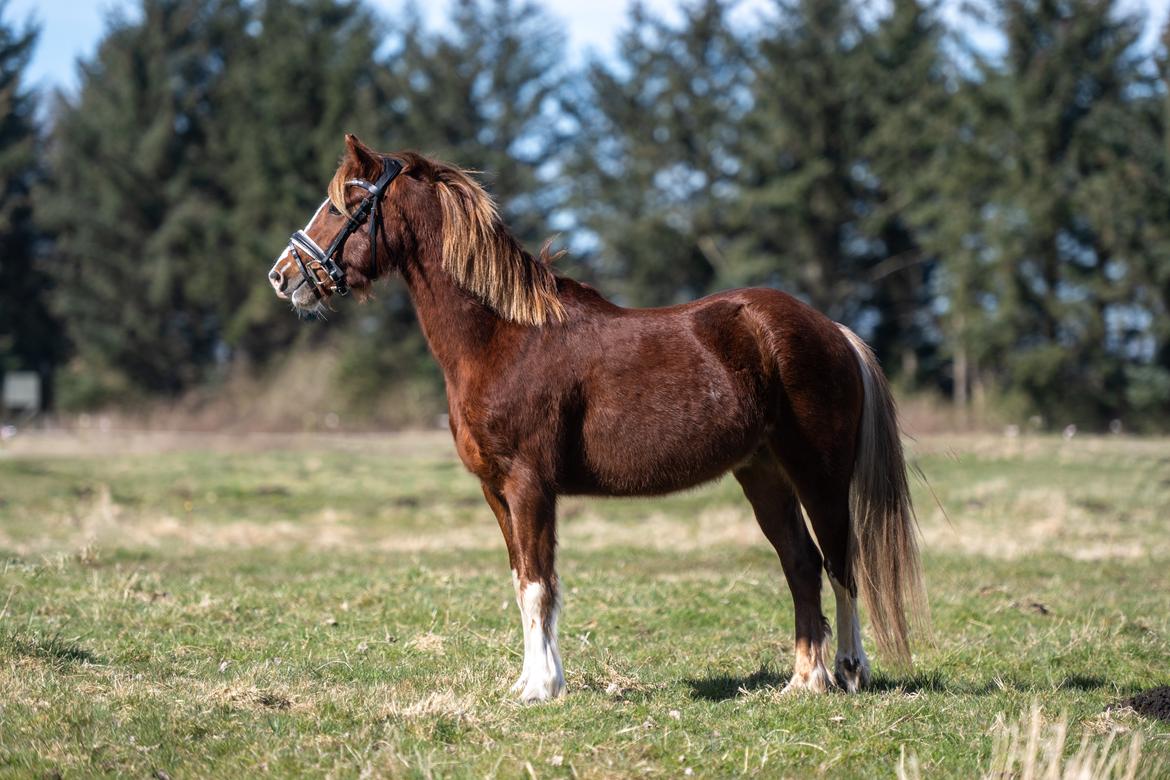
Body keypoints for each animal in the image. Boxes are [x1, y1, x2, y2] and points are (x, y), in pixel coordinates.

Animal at [268, 134, 925, 702]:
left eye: (342, 205)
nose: (284, 275)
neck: (503, 338)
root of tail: (830, 329)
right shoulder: (495, 492)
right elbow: (521, 581)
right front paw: (529, 681)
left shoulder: (530, 486)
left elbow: (539, 584)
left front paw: (541, 688)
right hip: (763, 475)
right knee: (801, 563)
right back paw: (804, 682)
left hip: (819, 475)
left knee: (840, 562)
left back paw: (849, 671)